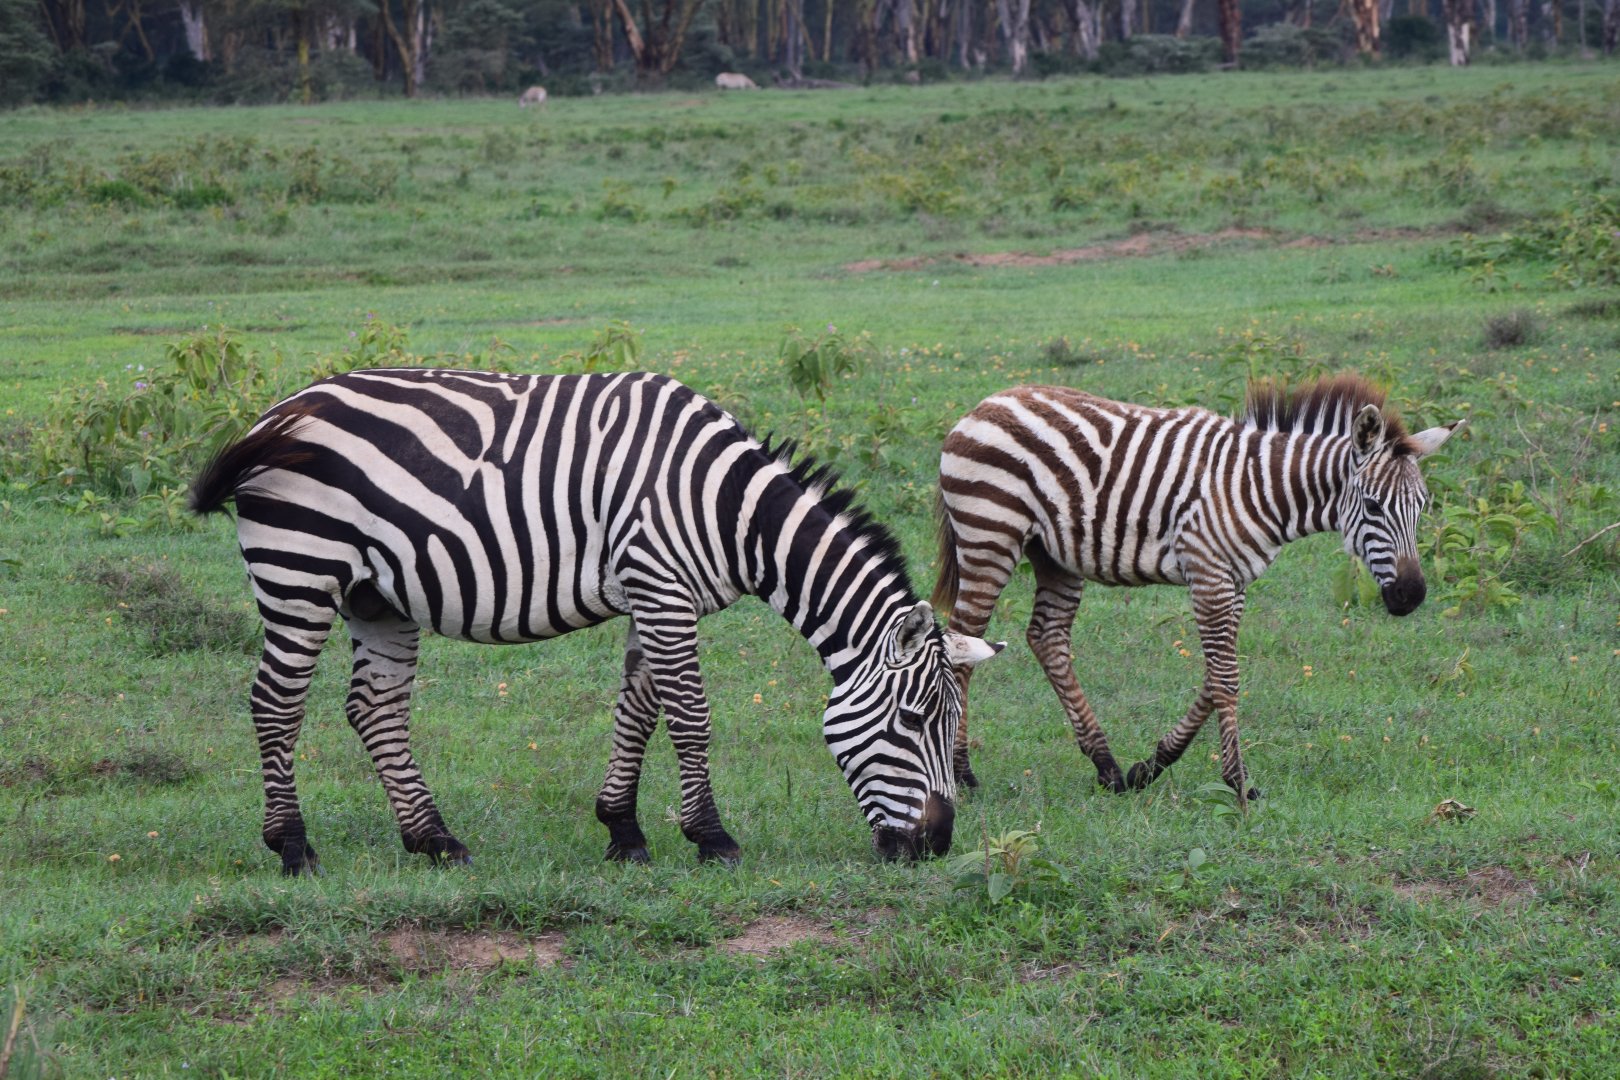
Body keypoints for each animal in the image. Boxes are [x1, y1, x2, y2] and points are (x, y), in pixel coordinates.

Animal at [189, 368, 1001, 875]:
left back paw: (435, 840)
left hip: (374, 596)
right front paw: (712, 839)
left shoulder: (654, 594)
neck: (728, 509)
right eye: (911, 720)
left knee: (373, 708)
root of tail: (275, 411)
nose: (936, 845)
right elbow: (691, 716)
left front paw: (624, 832)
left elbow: (639, 713)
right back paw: (294, 848)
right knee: (276, 704)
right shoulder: (661, 587)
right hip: (300, 569)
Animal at [932, 374, 1463, 801]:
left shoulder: (1234, 581)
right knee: (965, 639)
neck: (1261, 489)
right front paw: (1239, 783)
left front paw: (1150, 766)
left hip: (1054, 554)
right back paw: (963, 773)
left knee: (1047, 637)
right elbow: (1226, 679)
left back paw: (1107, 766)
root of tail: (986, 402)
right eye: (1373, 506)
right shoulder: (1208, 574)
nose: (1412, 596)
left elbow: (1214, 676)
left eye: (1422, 506)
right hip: (990, 535)